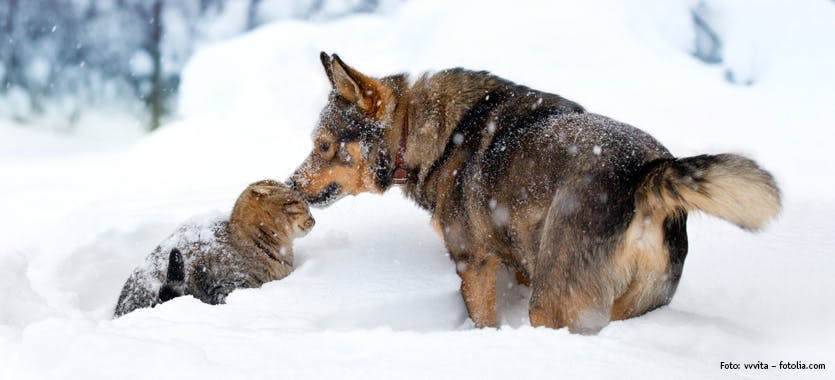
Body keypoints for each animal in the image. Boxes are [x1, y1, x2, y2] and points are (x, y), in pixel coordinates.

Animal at [290, 52, 784, 332]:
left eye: (322, 146)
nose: (290, 185)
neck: (431, 133)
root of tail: (646, 172)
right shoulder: (518, 259)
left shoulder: (473, 263)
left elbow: (483, 321)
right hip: (633, 304)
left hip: (553, 306)